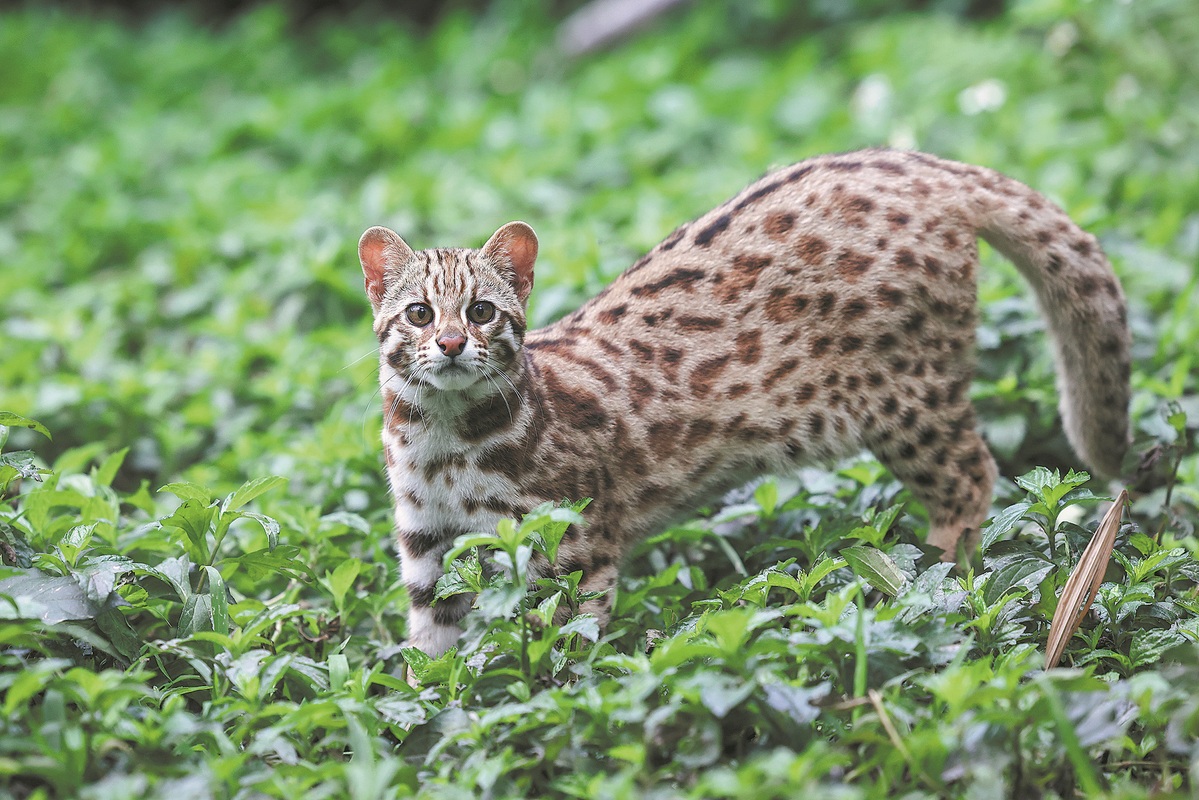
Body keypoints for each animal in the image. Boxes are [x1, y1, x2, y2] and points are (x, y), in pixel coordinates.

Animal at [357, 148, 1131, 657]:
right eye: (419, 314)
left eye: (483, 312)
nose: (452, 343)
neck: (442, 439)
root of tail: (916, 163)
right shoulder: (425, 542)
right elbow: (430, 648)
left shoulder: (570, 544)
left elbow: (563, 644)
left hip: (908, 398)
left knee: (973, 475)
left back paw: (930, 586)